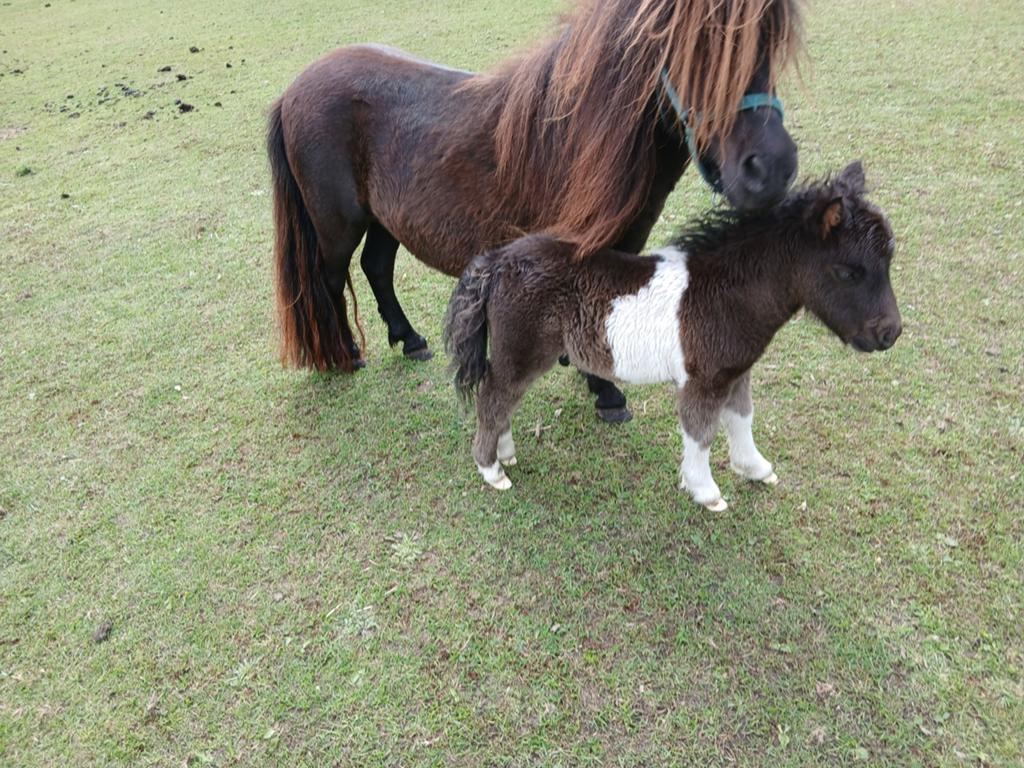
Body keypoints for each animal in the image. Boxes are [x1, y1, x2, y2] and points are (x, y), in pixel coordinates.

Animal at [267, 0, 802, 424]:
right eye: (698, 47)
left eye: (772, 42)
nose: (772, 167)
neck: (579, 134)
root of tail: (293, 88)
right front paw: (605, 393)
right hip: (337, 227)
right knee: (330, 281)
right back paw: (346, 355)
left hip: (385, 218)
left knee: (376, 267)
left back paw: (410, 339)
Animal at [444, 161, 902, 510]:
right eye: (848, 272)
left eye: (888, 262)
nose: (890, 333)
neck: (728, 292)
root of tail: (498, 261)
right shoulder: (704, 380)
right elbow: (701, 432)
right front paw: (706, 491)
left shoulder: (736, 372)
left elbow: (743, 419)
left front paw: (755, 469)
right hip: (521, 352)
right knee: (494, 397)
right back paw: (491, 470)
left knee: (502, 397)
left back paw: (504, 454)